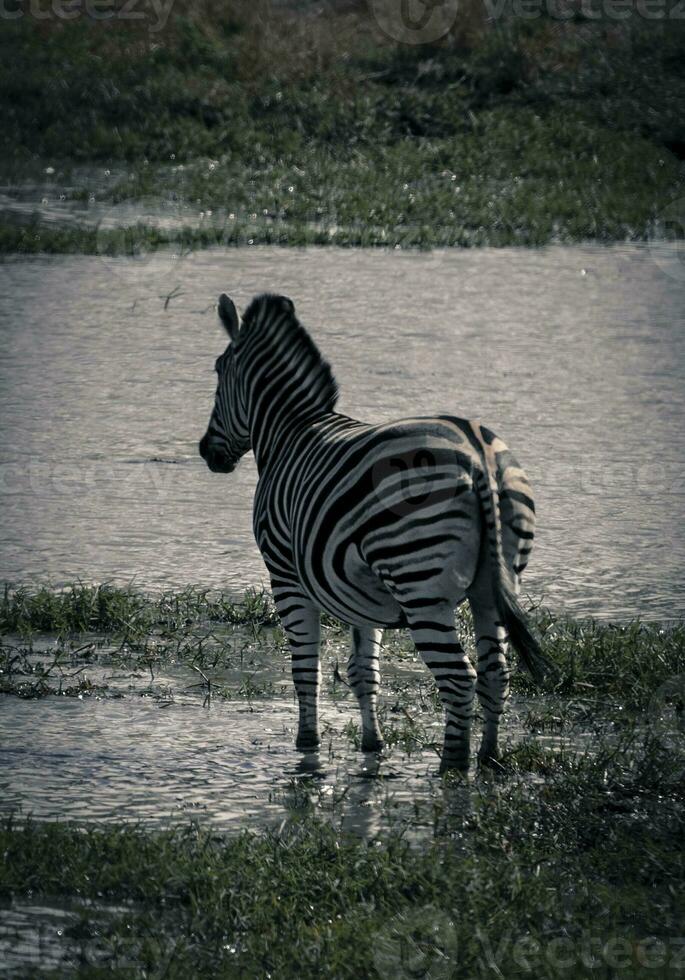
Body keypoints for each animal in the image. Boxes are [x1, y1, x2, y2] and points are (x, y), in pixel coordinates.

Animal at [199, 290, 544, 772]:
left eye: (217, 372)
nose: (207, 453)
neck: (290, 429)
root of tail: (478, 453)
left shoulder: (284, 574)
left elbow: (306, 667)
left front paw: (307, 743)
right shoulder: (357, 589)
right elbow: (364, 672)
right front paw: (371, 745)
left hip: (419, 582)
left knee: (459, 678)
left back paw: (452, 768)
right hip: (493, 584)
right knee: (495, 673)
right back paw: (489, 760)